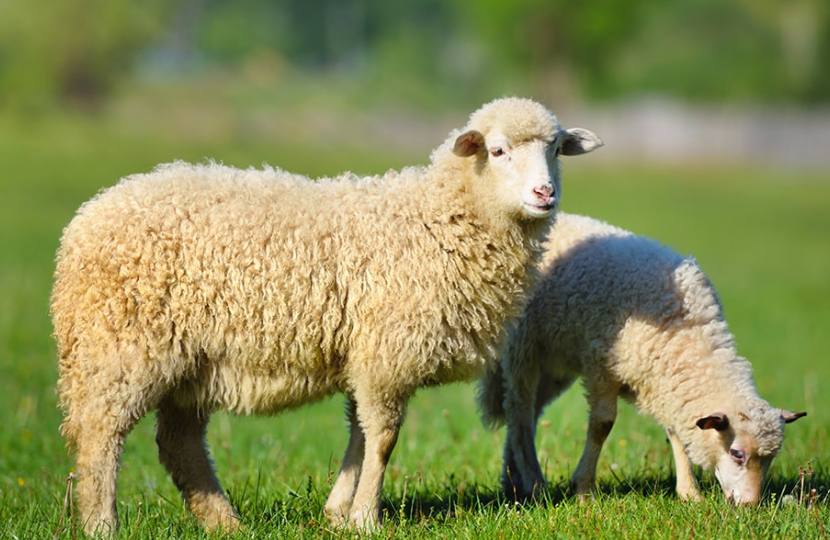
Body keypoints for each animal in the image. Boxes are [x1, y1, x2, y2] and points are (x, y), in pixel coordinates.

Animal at [50, 97, 603, 535]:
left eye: (556, 149)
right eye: (499, 150)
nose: (544, 194)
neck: (439, 220)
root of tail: (84, 221)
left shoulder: (367, 353)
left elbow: (360, 431)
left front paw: (338, 511)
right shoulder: (386, 352)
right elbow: (383, 438)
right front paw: (366, 517)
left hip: (192, 362)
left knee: (178, 444)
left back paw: (225, 523)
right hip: (120, 347)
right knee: (100, 437)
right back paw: (102, 525)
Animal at [478, 212, 806, 505]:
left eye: (771, 458)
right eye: (737, 453)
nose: (750, 505)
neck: (687, 333)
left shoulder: (664, 381)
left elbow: (676, 432)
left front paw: (689, 493)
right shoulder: (603, 368)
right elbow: (602, 425)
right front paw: (583, 489)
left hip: (555, 364)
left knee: (527, 412)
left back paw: (513, 481)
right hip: (524, 345)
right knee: (519, 411)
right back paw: (533, 483)